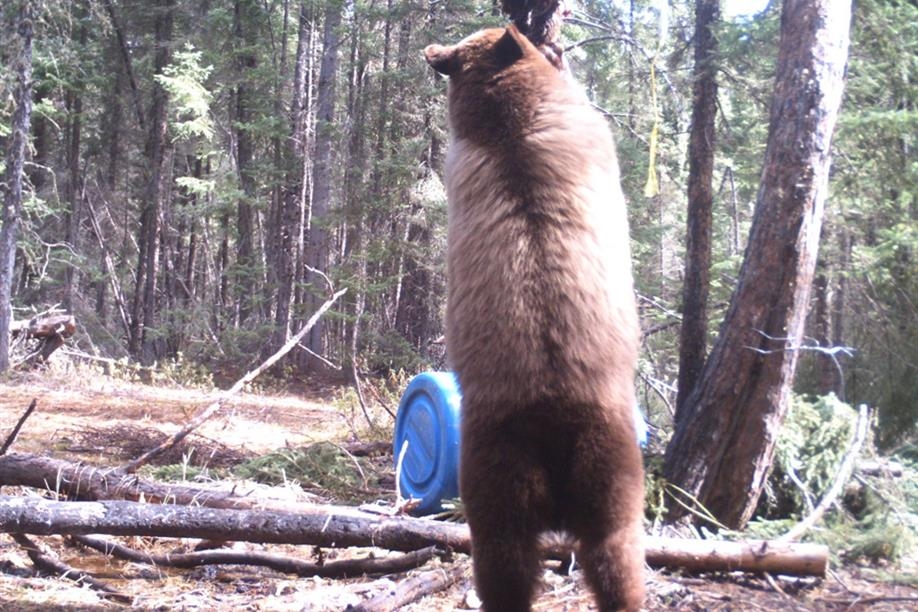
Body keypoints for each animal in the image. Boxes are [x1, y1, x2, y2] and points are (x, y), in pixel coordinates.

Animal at [425, 24, 645, 612]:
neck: (511, 130)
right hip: (592, 467)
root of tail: (551, 414)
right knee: (613, 551)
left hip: (517, 481)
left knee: (517, 559)